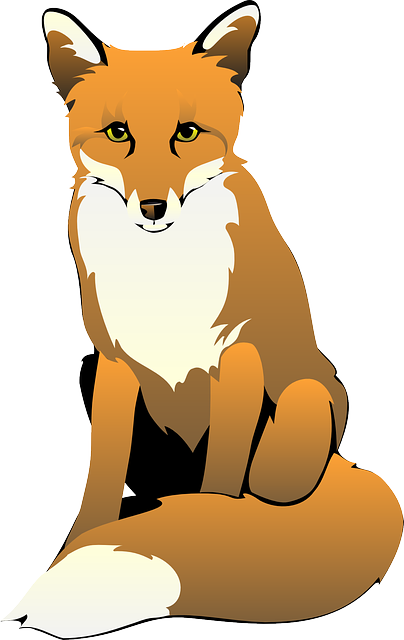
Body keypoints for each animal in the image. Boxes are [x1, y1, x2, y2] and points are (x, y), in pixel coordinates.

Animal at [3, 2, 402, 638]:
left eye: (186, 133)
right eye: (118, 134)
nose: (152, 207)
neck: (163, 275)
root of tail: (349, 463)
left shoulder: (236, 360)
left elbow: (219, 489)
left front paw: (208, 530)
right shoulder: (111, 362)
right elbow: (97, 484)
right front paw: (72, 549)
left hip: (302, 412)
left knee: (252, 484)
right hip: (87, 372)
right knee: (159, 494)